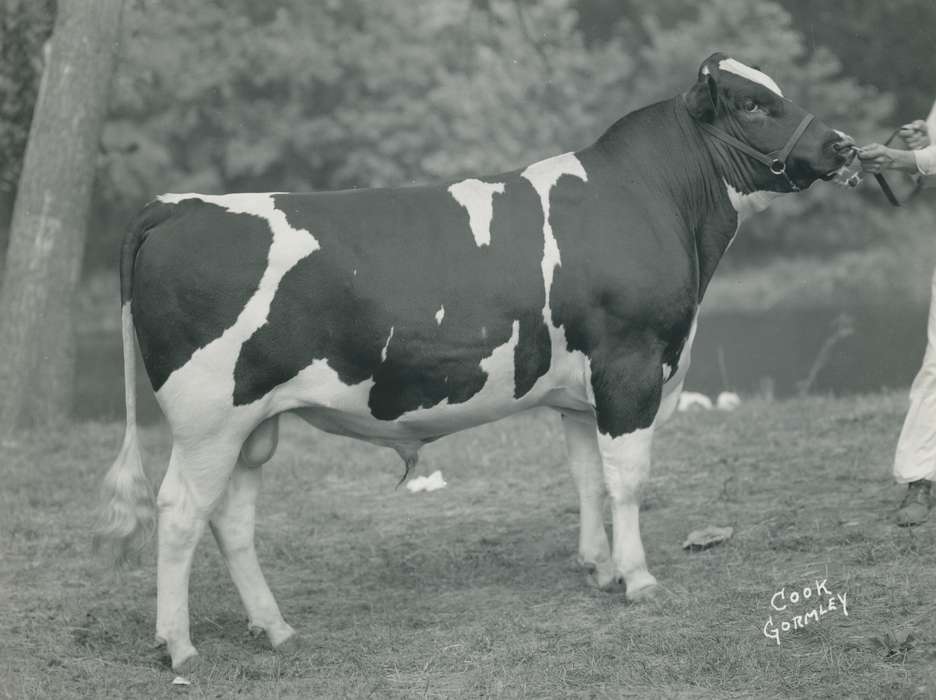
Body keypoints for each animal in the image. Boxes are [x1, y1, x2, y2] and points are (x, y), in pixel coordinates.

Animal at [94, 53, 856, 673]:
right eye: (753, 105)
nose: (842, 145)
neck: (654, 201)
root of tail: (177, 205)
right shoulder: (631, 367)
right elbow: (629, 480)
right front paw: (638, 579)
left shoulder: (580, 392)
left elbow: (588, 479)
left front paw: (601, 569)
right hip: (208, 417)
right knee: (181, 511)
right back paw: (179, 647)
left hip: (253, 422)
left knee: (231, 518)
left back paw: (274, 628)